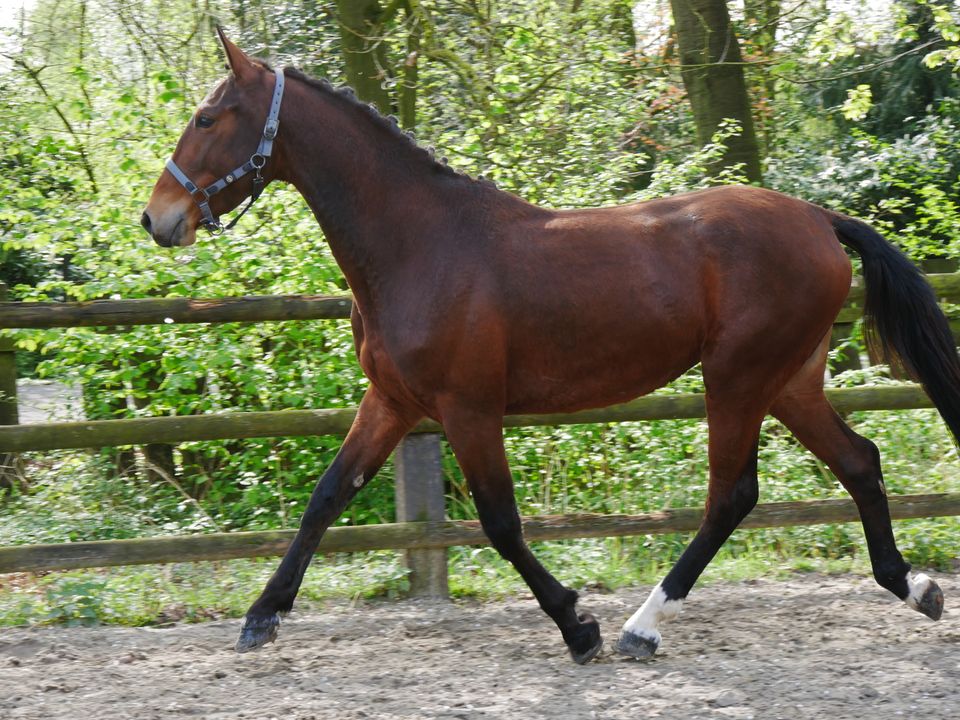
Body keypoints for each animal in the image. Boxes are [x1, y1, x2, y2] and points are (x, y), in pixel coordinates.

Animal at [141, 32, 952, 664]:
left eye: (207, 116)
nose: (158, 218)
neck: (419, 244)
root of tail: (818, 219)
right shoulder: (394, 402)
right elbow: (327, 497)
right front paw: (261, 616)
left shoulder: (468, 409)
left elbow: (500, 523)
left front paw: (577, 625)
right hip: (788, 381)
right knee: (859, 460)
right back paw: (913, 586)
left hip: (739, 378)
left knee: (733, 494)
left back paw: (640, 628)